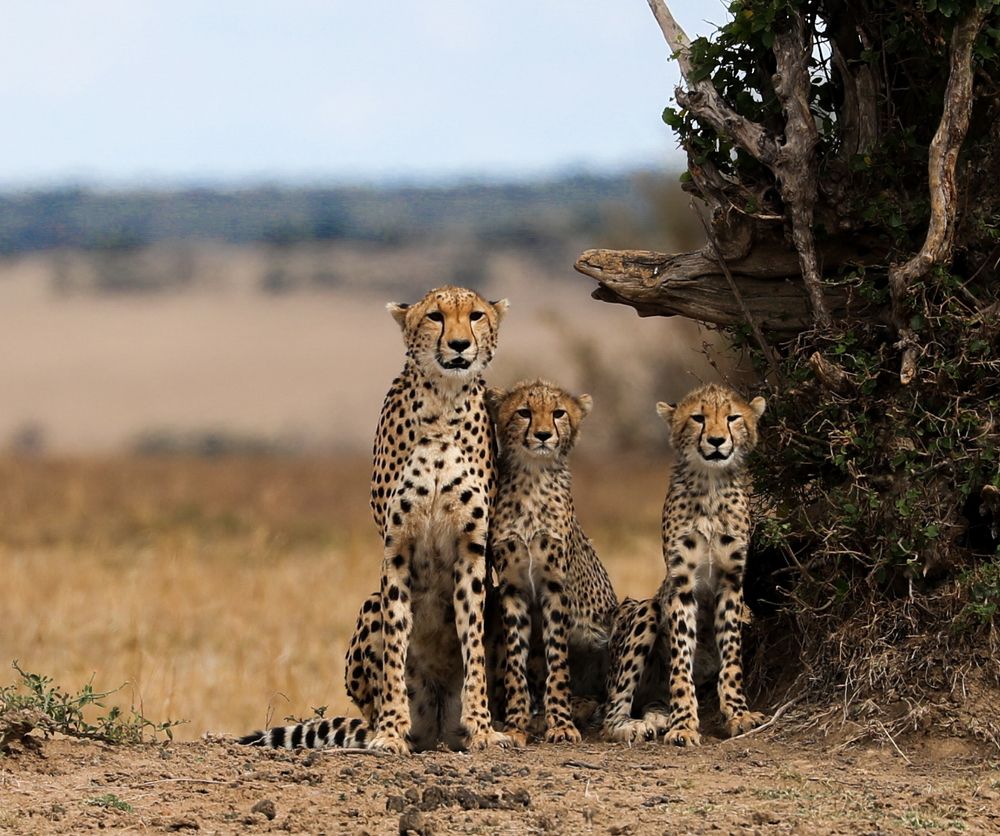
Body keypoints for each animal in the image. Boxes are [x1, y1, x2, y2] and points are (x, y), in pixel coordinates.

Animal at [240, 286, 512, 753]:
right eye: (436, 316)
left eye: (476, 315)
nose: (460, 345)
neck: (444, 403)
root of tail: (436, 728)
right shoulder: (396, 546)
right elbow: (395, 642)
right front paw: (390, 730)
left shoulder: (471, 547)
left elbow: (472, 643)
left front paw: (482, 727)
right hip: (369, 604)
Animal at [487, 379, 619, 745]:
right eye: (524, 412)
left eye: (558, 413)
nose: (544, 434)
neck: (533, 480)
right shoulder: (512, 589)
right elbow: (516, 663)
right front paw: (516, 725)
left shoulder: (554, 588)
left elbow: (558, 660)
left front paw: (560, 724)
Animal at [601, 382, 768, 746]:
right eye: (698, 418)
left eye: (733, 418)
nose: (717, 441)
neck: (710, 484)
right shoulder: (681, 583)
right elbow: (680, 660)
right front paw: (684, 724)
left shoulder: (731, 582)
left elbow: (732, 655)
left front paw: (738, 713)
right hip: (645, 610)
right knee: (610, 711)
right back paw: (636, 725)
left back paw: (658, 717)